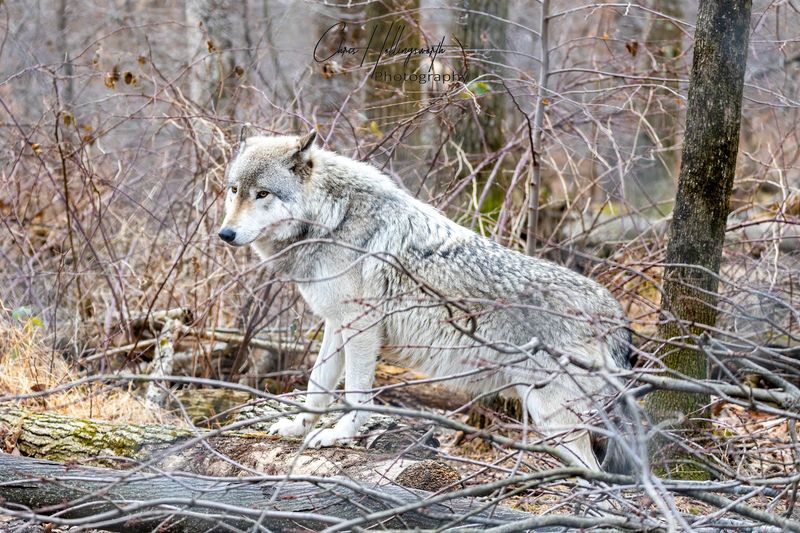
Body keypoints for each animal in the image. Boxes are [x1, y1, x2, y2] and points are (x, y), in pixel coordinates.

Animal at [219, 129, 634, 473]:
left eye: (263, 194)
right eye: (234, 190)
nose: (225, 234)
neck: (332, 219)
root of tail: (613, 310)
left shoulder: (362, 325)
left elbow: (355, 393)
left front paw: (341, 434)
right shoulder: (336, 324)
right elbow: (316, 386)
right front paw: (298, 427)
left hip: (551, 418)